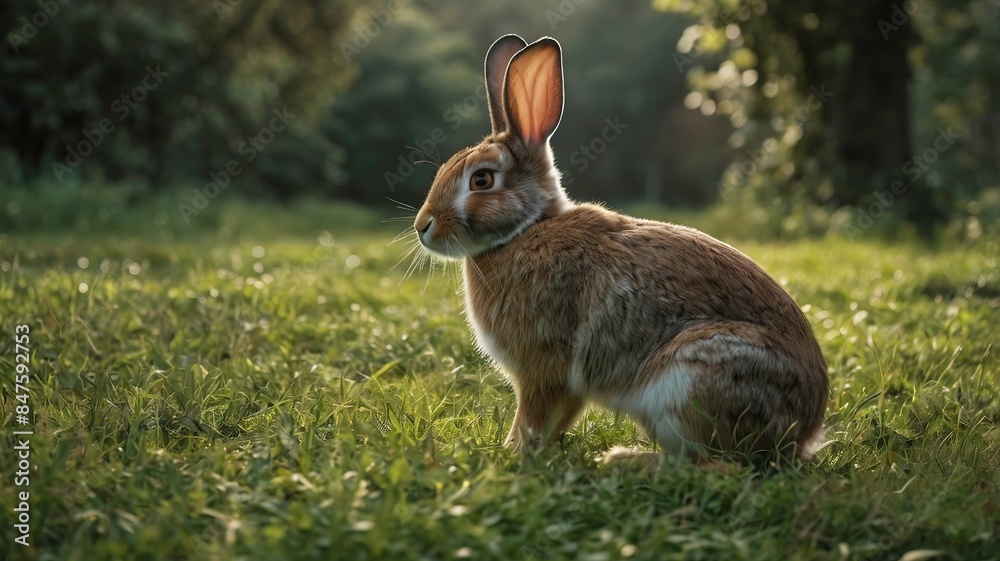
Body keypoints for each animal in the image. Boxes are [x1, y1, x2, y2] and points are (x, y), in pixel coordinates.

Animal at [412, 34, 828, 463]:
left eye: (481, 180)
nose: (422, 227)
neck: (526, 230)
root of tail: (803, 432)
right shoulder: (567, 383)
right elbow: (559, 418)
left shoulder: (543, 364)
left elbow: (533, 417)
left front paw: (512, 455)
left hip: (689, 380)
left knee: (712, 464)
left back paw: (621, 459)